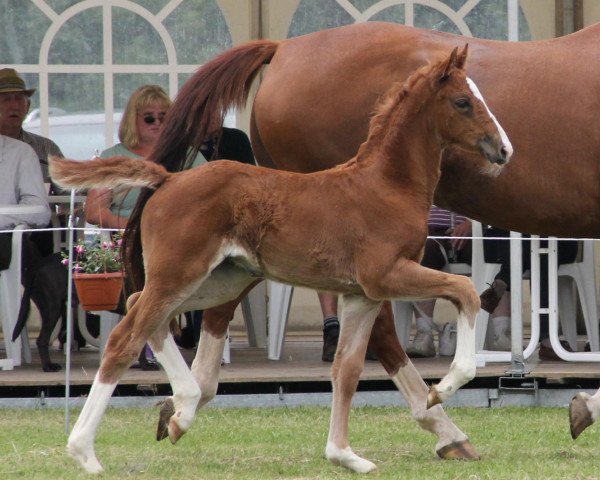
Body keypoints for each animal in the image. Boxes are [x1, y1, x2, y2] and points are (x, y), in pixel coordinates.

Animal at [50, 47, 510, 474]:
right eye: (463, 101)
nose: (504, 149)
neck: (386, 186)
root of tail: (169, 178)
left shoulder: (361, 295)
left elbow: (346, 371)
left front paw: (344, 455)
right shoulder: (386, 276)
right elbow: (466, 291)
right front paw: (442, 388)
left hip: (218, 281)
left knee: (140, 312)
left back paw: (181, 410)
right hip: (181, 275)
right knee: (124, 337)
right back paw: (85, 451)